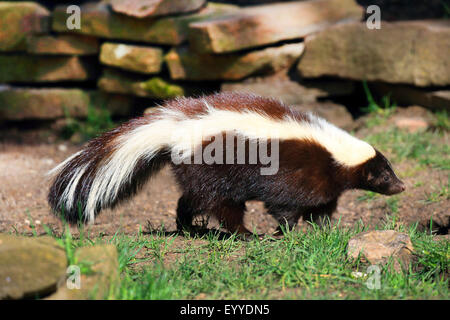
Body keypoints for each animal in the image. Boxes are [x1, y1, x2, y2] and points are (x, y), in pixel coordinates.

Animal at [47, 92, 406, 235]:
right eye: (384, 176)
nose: (402, 186)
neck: (333, 151)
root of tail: (176, 127)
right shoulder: (297, 174)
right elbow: (285, 207)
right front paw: (284, 233)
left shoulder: (324, 182)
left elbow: (323, 207)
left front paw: (325, 228)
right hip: (213, 170)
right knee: (221, 205)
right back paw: (245, 234)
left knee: (188, 201)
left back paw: (187, 227)